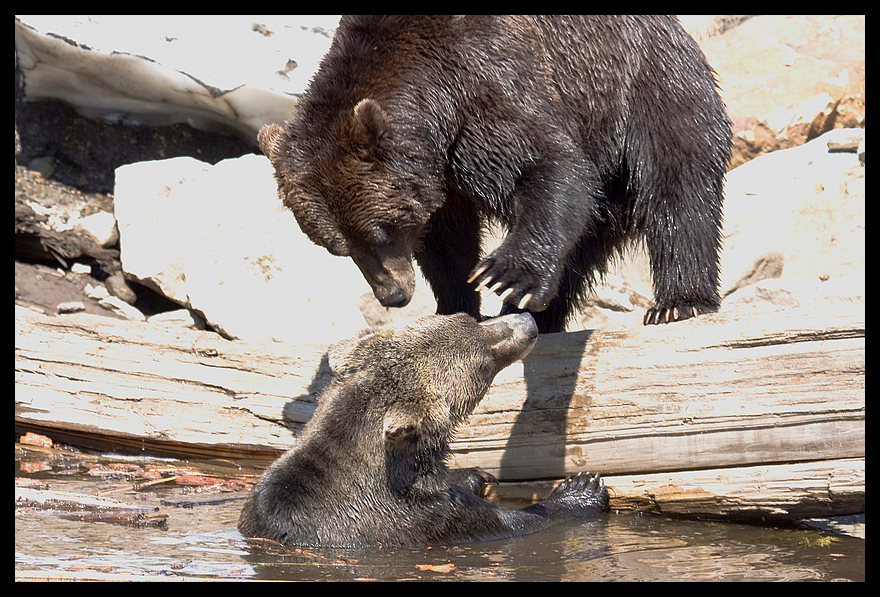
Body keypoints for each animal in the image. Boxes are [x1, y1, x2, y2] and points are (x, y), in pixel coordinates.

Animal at [237, 314, 608, 548]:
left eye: (469, 317)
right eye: (484, 363)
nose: (527, 321)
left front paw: (475, 475)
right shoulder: (425, 518)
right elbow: (514, 522)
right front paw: (581, 489)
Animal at [260, 15, 736, 330]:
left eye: (382, 231)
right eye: (338, 248)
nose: (393, 295)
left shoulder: (484, 81)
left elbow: (549, 165)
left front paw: (506, 275)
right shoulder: (441, 171)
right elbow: (448, 240)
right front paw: (455, 305)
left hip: (650, 90)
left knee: (679, 193)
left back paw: (679, 302)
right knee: (582, 242)